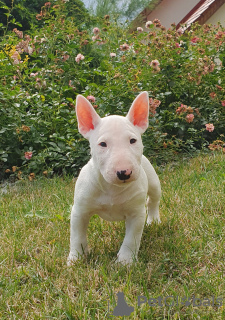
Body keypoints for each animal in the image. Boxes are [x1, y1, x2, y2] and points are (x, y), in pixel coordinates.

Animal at [67, 90, 161, 264]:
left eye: (133, 140)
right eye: (102, 144)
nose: (124, 172)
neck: (112, 188)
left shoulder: (136, 214)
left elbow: (131, 238)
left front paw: (125, 261)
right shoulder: (79, 210)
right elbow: (77, 236)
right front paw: (75, 259)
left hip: (153, 182)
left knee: (153, 200)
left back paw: (154, 220)